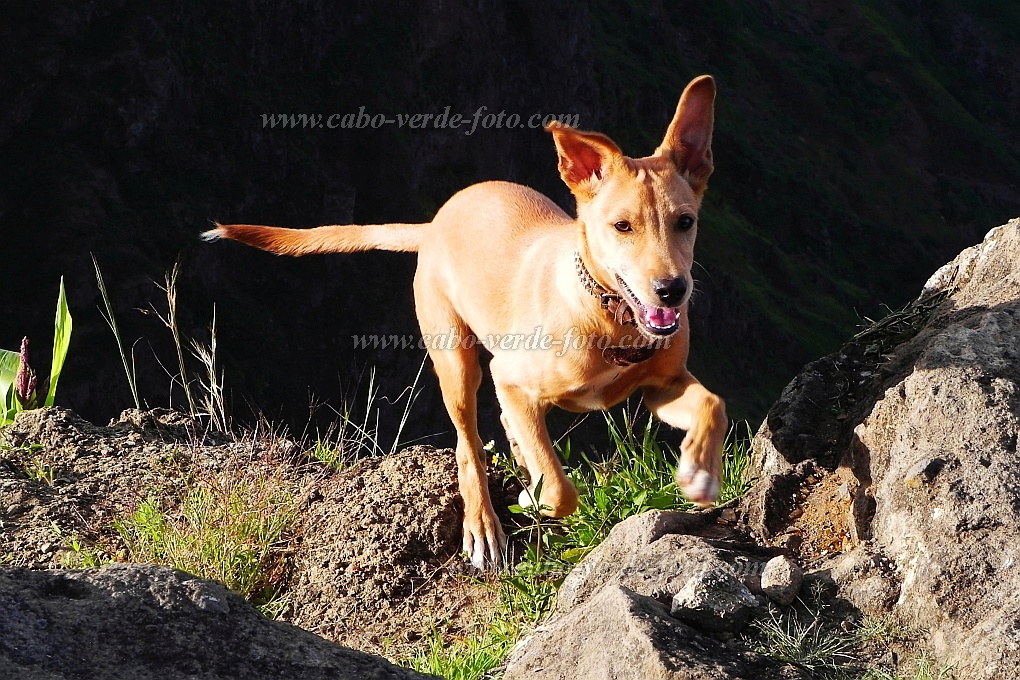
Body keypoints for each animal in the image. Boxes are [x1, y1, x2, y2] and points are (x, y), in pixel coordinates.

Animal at [202, 75, 726, 570]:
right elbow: (559, 492)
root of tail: (435, 223)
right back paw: (483, 525)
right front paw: (532, 497)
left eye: (685, 222)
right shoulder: (509, 376)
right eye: (622, 226)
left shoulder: (661, 385)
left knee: (506, 429)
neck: (604, 312)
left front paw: (699, 472)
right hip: (457, 360)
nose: (672, 291)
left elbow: (713, 404)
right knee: (468, 445)